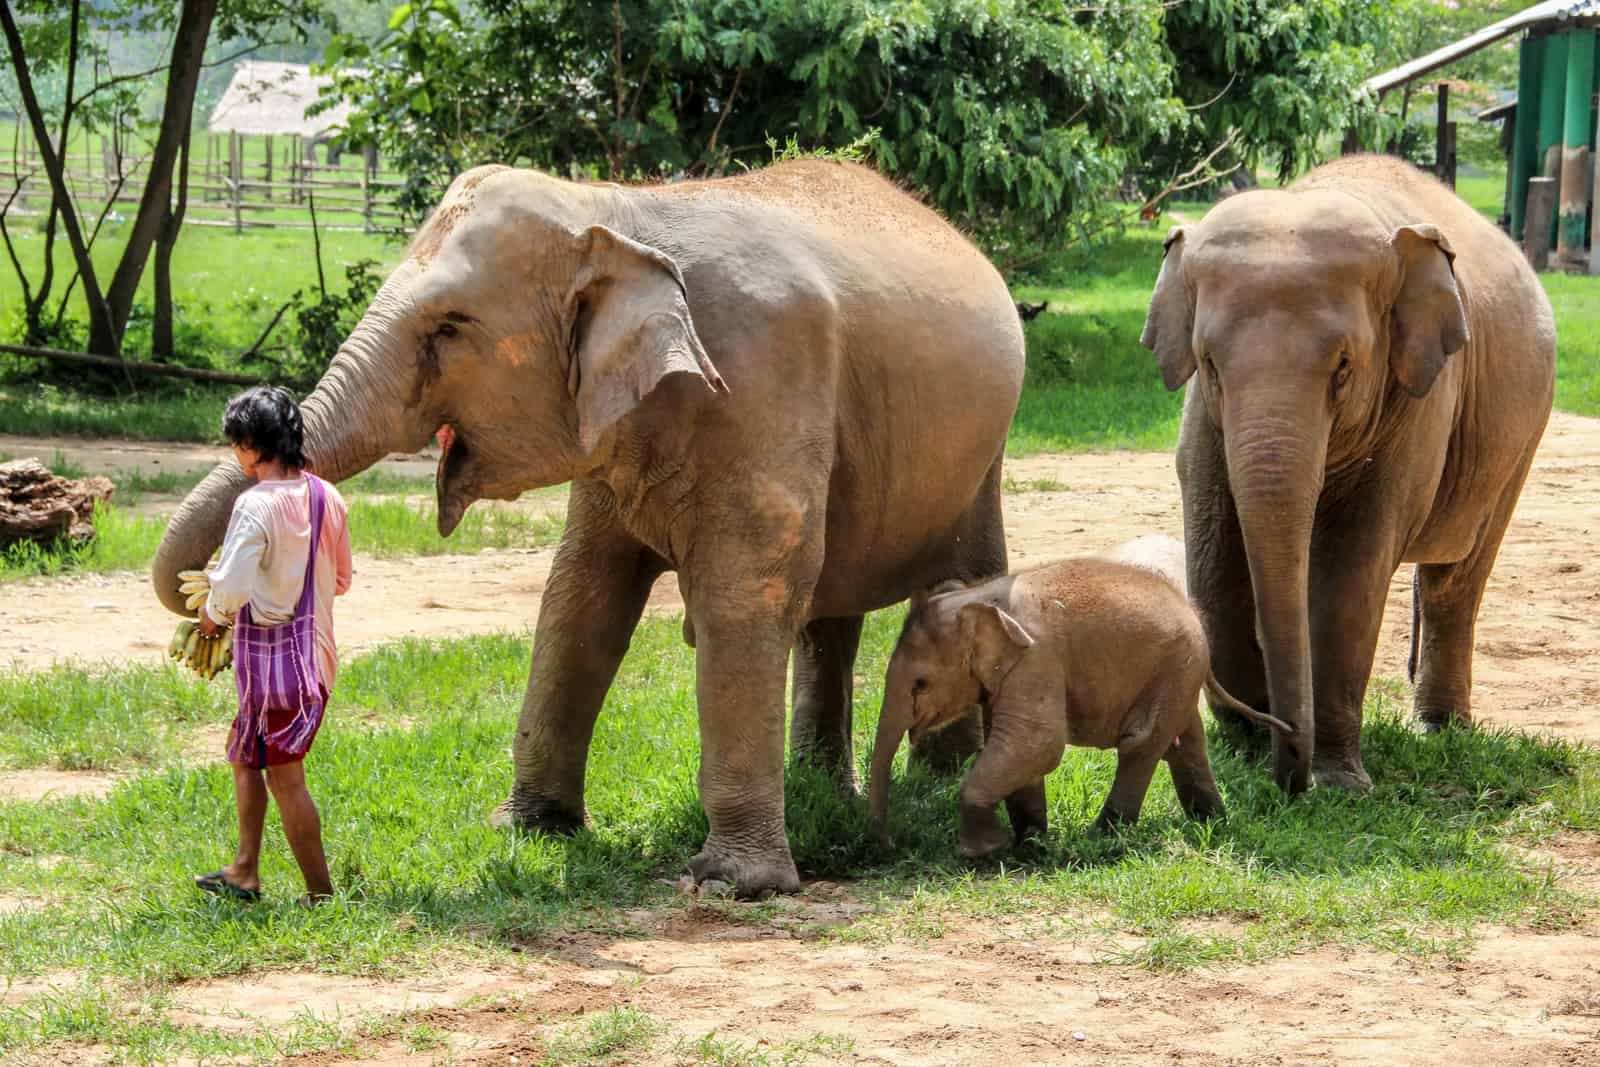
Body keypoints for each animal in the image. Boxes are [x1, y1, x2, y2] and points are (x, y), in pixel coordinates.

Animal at [150, 158, 1024, 902]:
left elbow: (744, 598)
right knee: (829, 614)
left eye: (451, 327)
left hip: (983, 453)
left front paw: (729, 882)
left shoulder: (768, 380)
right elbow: (580, 600)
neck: (619, 210)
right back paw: (825, 790)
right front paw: (529, 829)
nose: (202, 603)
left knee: (955, 579)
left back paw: (939, 780)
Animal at [870, 543, 1292, 857]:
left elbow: (1037, 744)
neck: (978, 597)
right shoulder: (1008, 677)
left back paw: (1103, 837)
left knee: (1141, 743)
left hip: (1175, 667)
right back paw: (1210, 823)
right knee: (1184, 742)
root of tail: (1191, 612)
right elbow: (1019, 749)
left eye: (920, 684)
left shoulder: (1036, 662)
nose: (890, 846)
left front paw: (983, 853)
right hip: (1176, 675)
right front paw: (1029, 847)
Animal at [1145, 154, 1555, 796]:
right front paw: (1246, 753)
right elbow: (1215, 549)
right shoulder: (1202, 417)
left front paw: (1337, 782)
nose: (1289, 772)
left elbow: (1350, 564)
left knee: (1458, 575)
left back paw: (1439, 728)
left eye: (1344, 367)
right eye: (1209, 362)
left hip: (1523, 433)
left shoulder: (1418, 398)